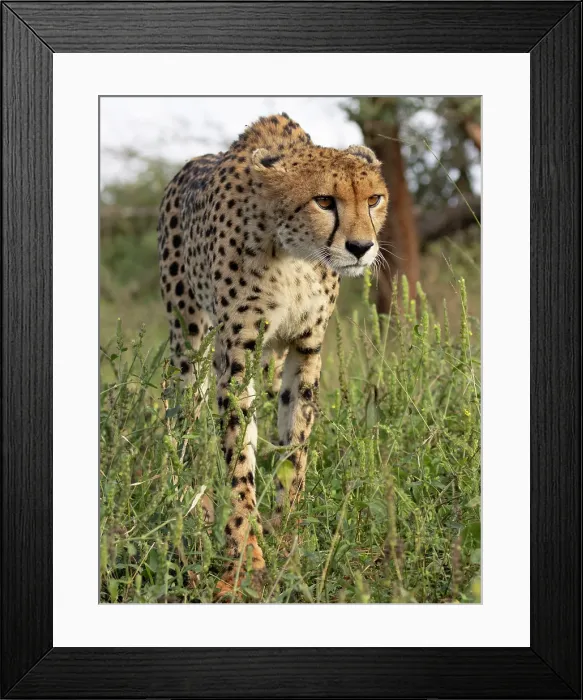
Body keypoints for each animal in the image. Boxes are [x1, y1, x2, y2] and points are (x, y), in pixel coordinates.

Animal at [157, 113, 389, 597]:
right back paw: (192, 504)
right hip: (190, 340)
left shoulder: (306, 348)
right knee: (183, 414)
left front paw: (287, 534)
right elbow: (238, 459)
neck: (295, 252)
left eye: (374, 199)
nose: (362, 248)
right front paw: (245, 553)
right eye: (324, 200)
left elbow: (295, 448)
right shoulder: (236, 351)